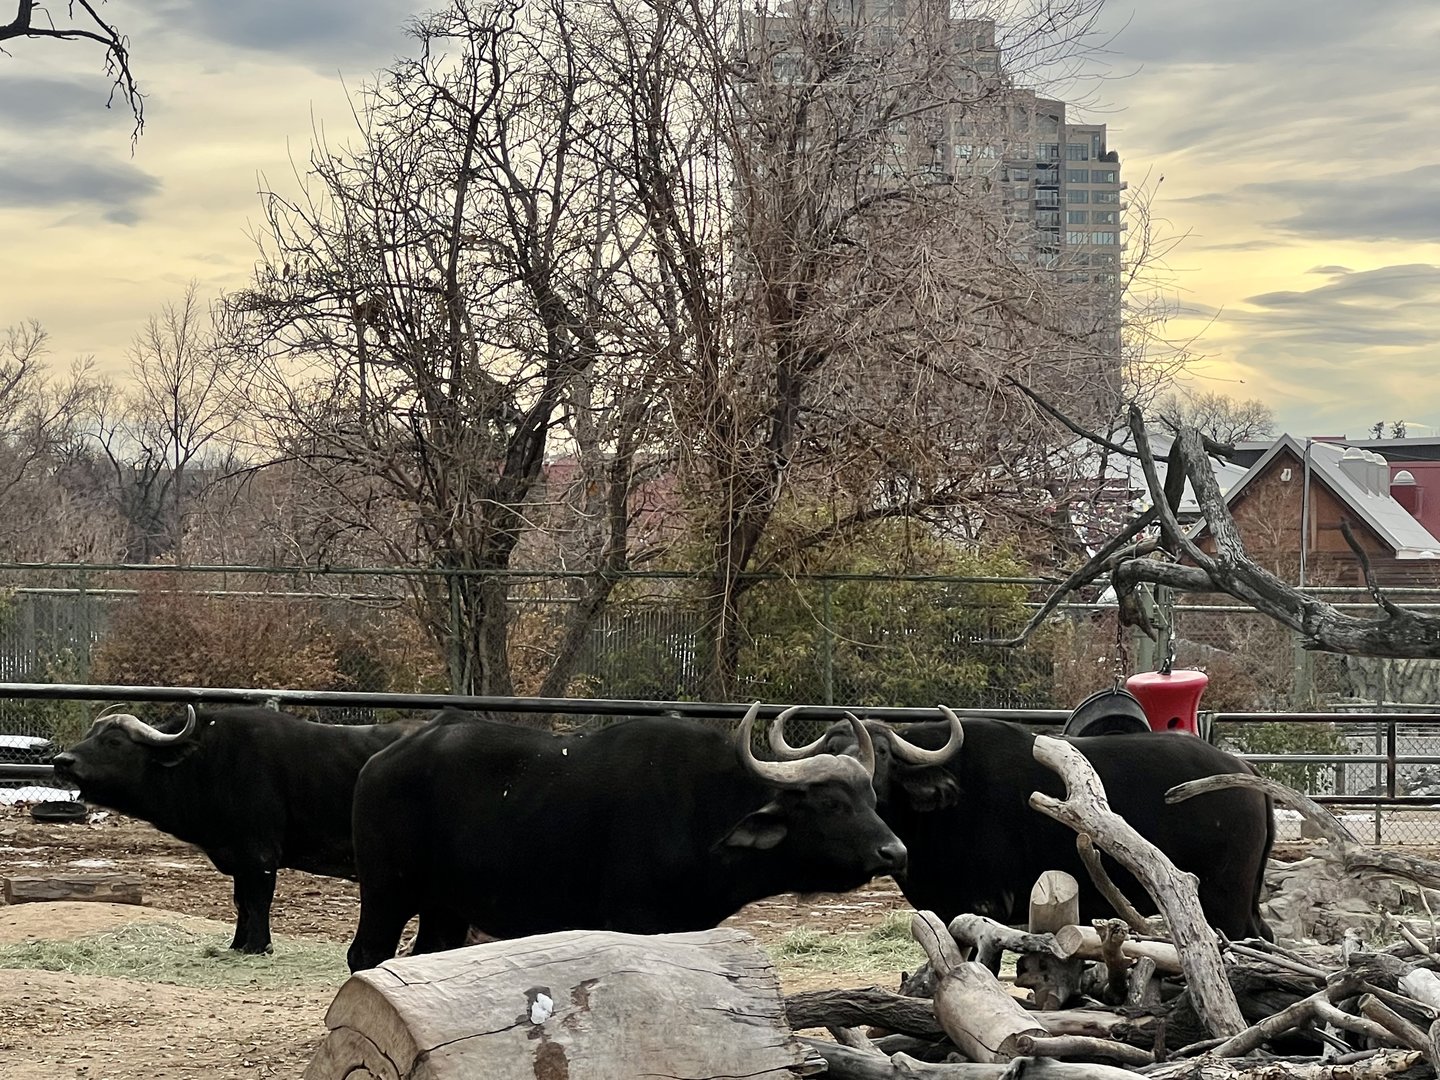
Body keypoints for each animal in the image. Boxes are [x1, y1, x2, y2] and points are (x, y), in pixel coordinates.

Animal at [51, 705, 416, 953]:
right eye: (89, 736)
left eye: (113, 741)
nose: (62, 761)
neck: (208, 761)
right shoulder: (239, 858)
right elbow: (241, 902)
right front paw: (238, 945)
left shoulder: (260, 855)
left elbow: (258, 900)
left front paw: (258, 946)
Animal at [345, 702, 936, 971]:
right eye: (833, 803)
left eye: (872, 799)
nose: (895, 852)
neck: (701, 811)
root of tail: (380, 762)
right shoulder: (635, 922)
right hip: (386, 891)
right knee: (365, 955)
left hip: (445, 904)